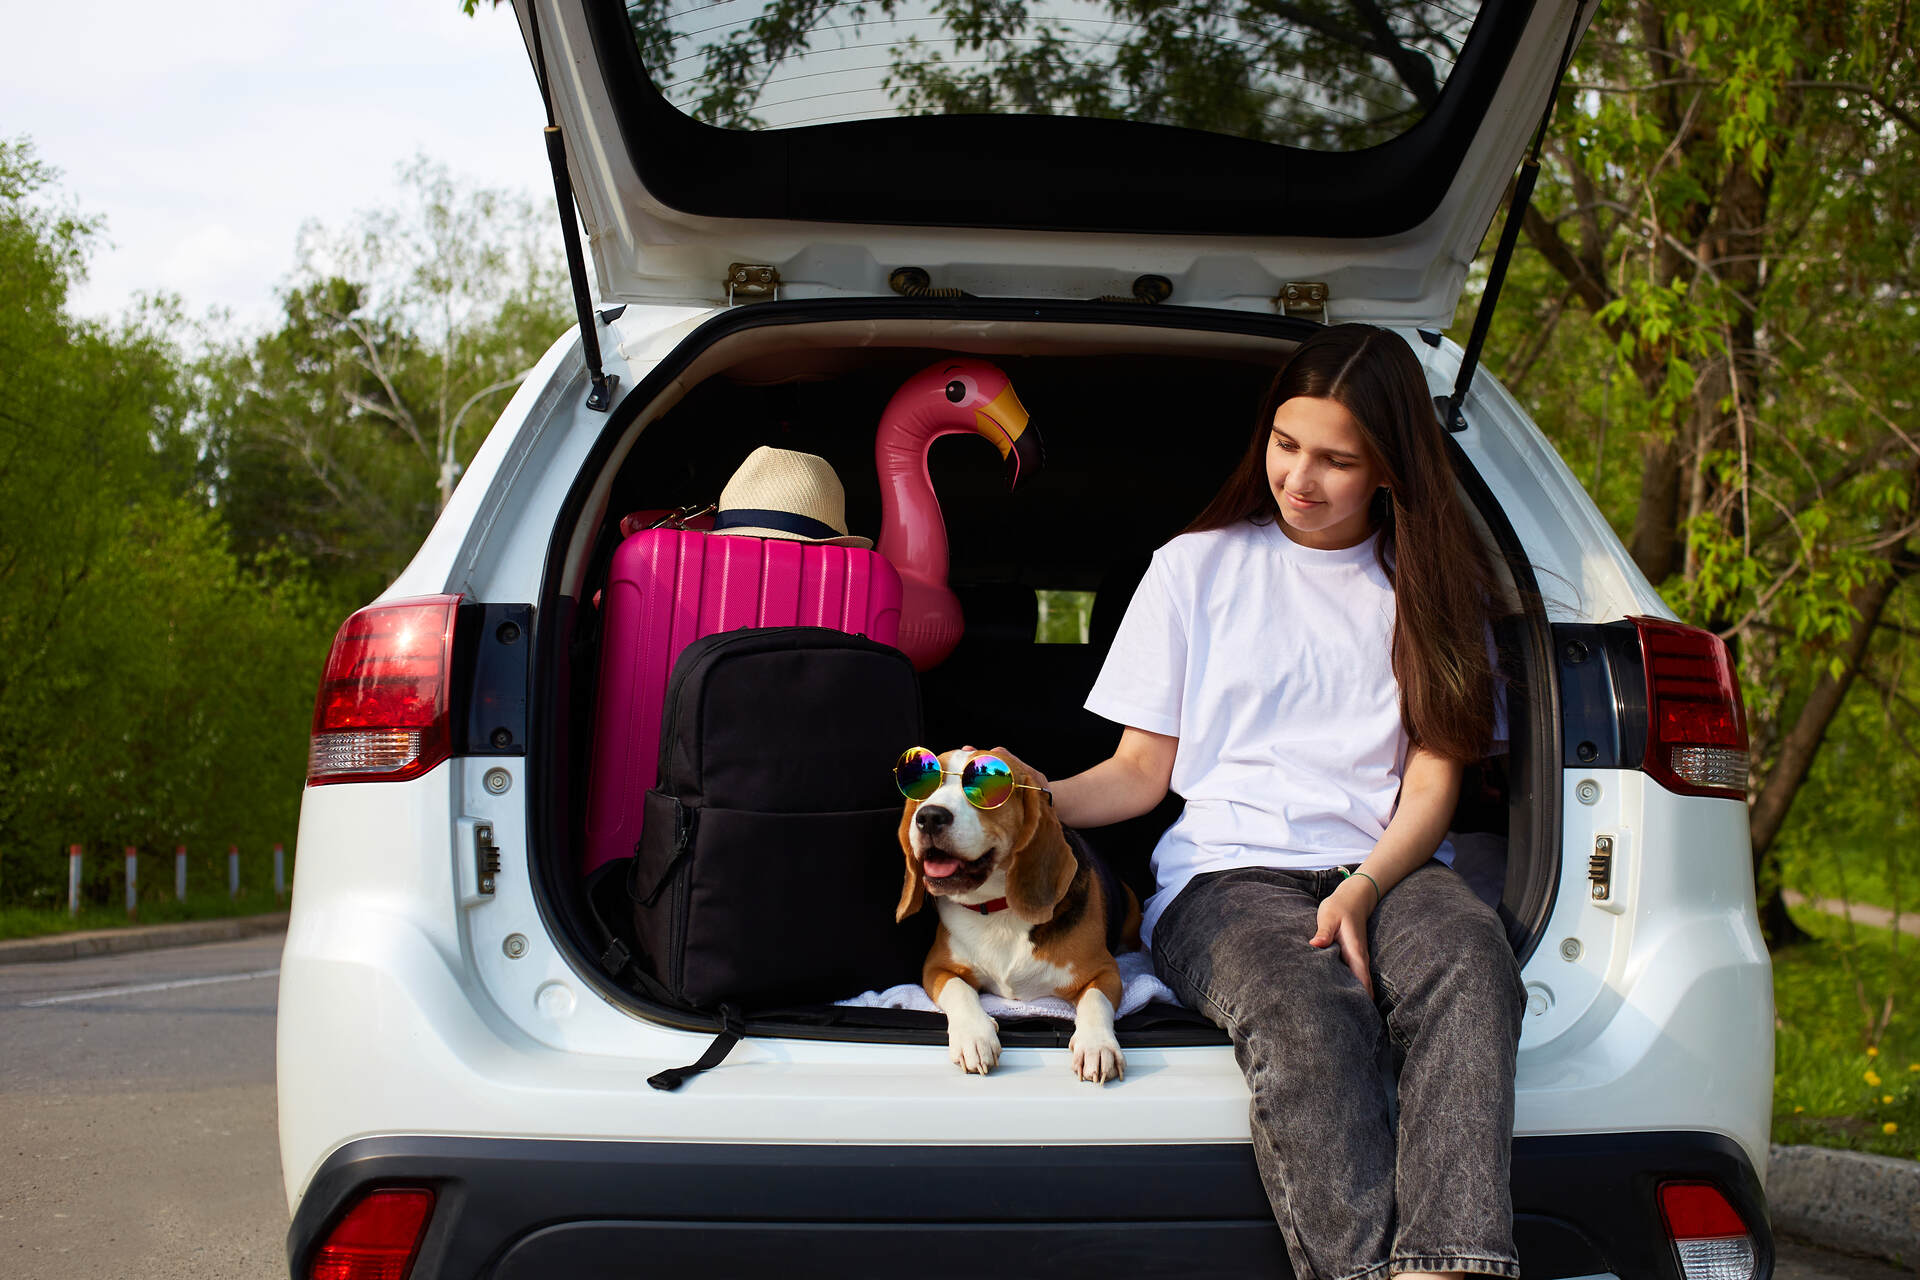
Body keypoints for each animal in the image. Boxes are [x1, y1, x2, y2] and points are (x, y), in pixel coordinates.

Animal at [894, 744, 1144, 1090]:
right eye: (924, 785)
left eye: (986, 789)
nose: (930, 816)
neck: (998, 909)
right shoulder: (936, 968)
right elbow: (959, 990)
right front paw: (974, 1036)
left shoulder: (1105, 971)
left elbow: (1095, 1001)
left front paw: (1097, 1046)